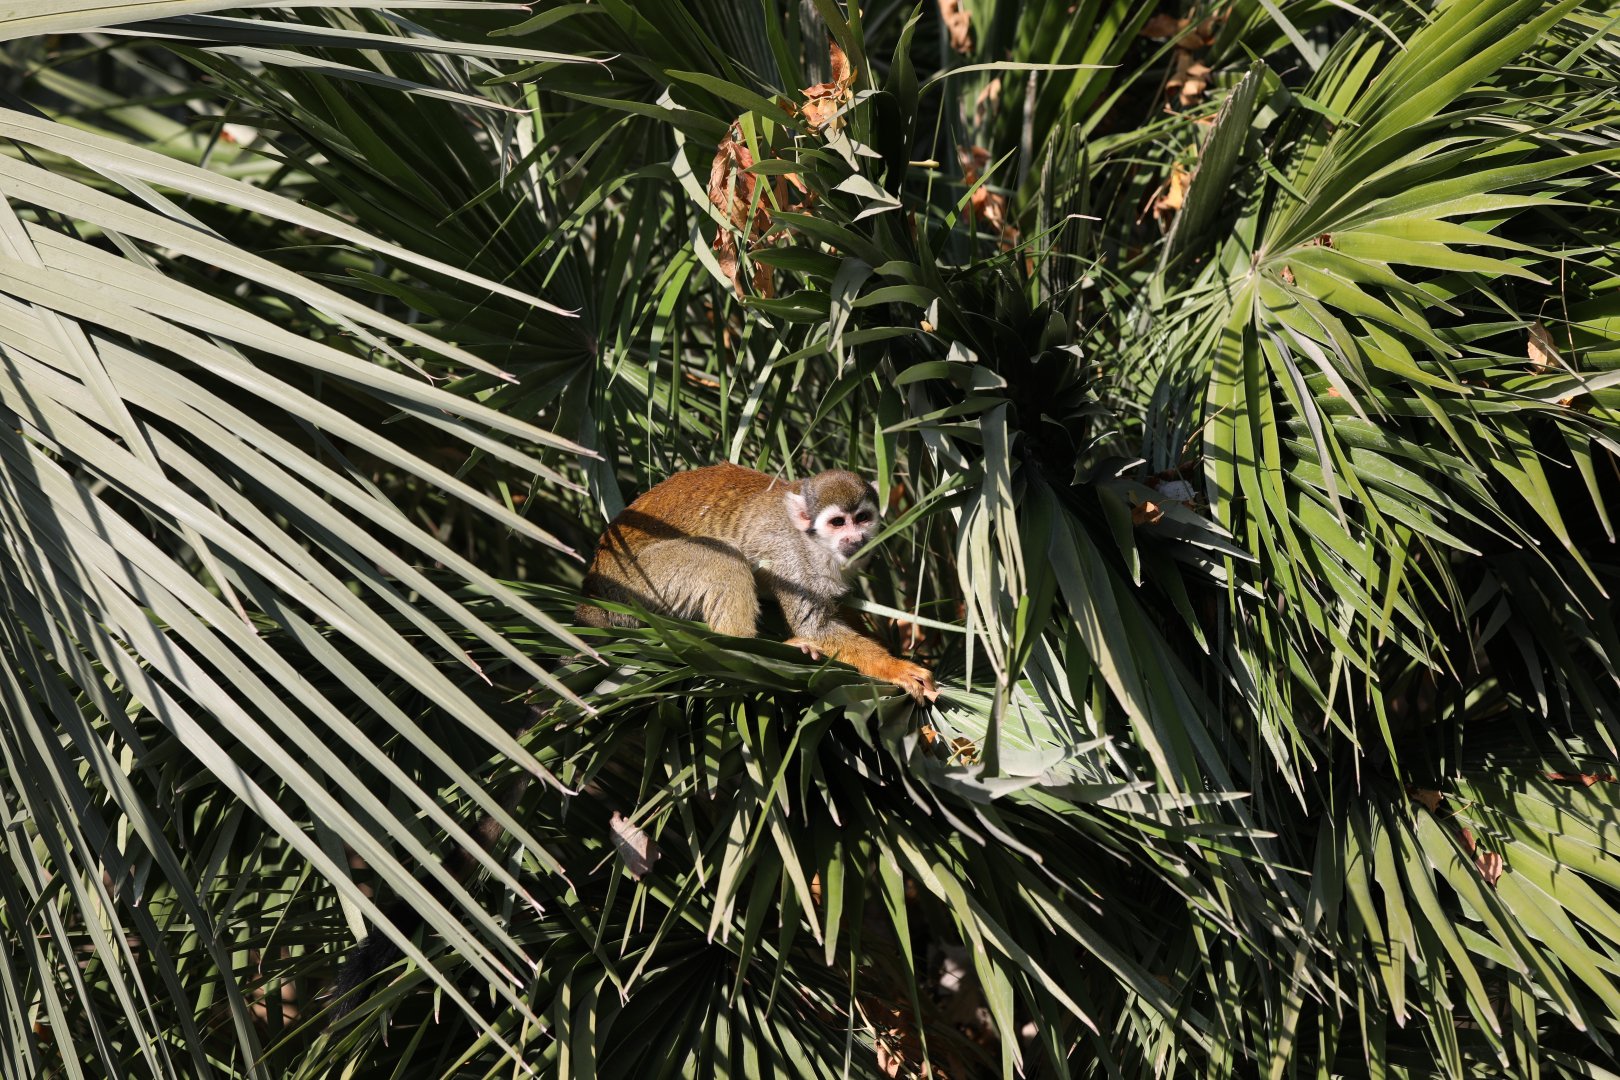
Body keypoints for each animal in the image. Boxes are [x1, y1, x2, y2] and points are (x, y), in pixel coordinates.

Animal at [575, 462, 937, 701]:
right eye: (838, 522)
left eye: (862, 518)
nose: (855, 538)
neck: (816, 545)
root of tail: (593, 584)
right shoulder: (793, 557)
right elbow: (814, 626)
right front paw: (894, 666)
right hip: (638, 581)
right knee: (725, 558)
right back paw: (745, 643)